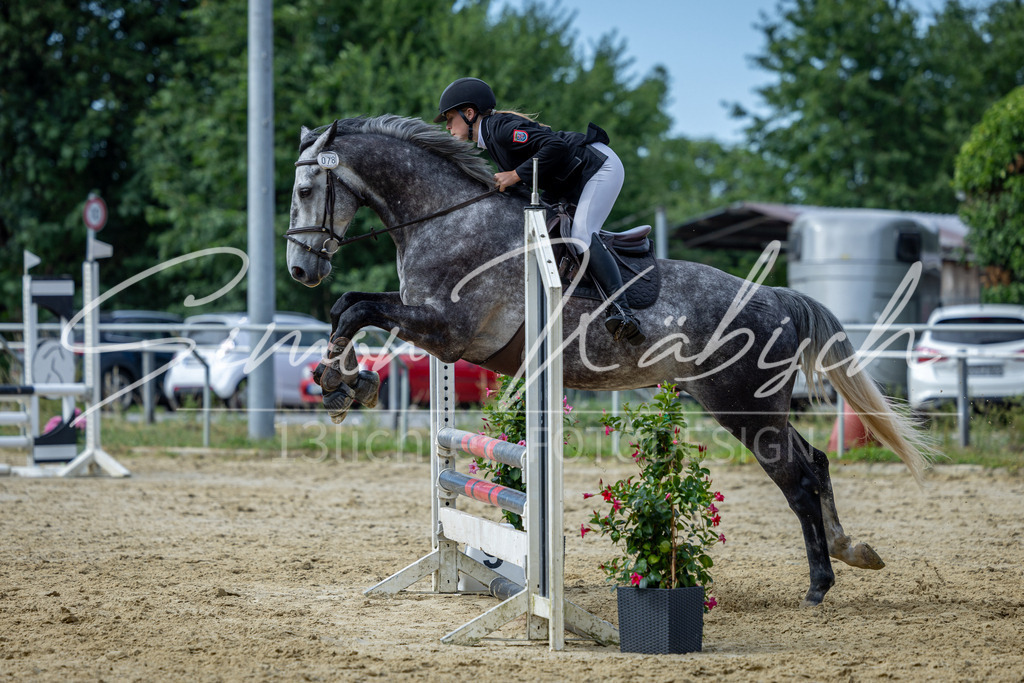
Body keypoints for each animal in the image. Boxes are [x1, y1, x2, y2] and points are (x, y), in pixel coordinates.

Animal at [284, 114, 932, 608]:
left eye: (305, 191)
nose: (300, 269)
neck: (448, 216)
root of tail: (775, 296)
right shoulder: (435, 330)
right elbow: (349, 306)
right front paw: (339, 382)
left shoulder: (448, 330)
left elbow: (356, 308)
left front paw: (344, 385)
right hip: (752, 404)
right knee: (815, 462)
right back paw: (854, 551)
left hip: (742, 405)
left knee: (796, 478)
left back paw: (819, 586)